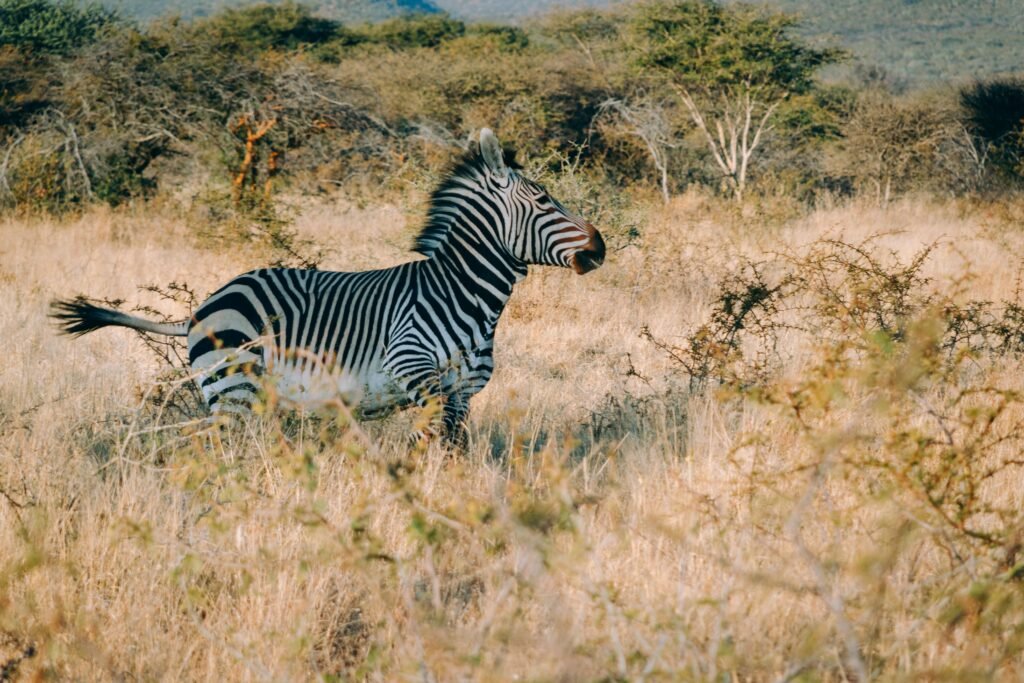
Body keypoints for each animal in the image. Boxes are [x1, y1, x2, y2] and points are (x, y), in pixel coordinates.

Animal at [51, 129, 605, 448]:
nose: (600, 247)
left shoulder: (462, 393)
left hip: (251, 395)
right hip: (232, 387)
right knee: (212, 448)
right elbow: (425, 446)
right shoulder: (413, 368)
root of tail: (204, 306)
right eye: (544, 201)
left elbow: (451, 451)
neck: (462, 296)